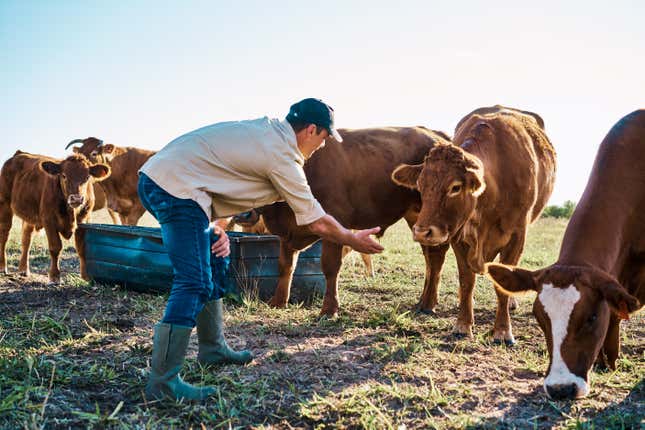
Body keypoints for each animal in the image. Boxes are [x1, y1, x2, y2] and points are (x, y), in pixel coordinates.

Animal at [0, 151, 110, 282]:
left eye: (87, 177)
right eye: (64, 176)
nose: (76, 198)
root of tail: (18, 154)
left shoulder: (84, 221)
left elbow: (82, 248)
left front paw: (85, 276)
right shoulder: (49, 220)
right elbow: (55, 247)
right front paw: (54, 276)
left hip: (30, 216)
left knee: (27, 238)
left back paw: (23, 269)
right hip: (4, 205)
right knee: (4, 235)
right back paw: (3, 267)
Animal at [255, 126, 448, 314]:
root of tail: (435, 134)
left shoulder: (335, 220)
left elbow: (330, 267)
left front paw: (329, 308)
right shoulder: (289, 233)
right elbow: (285, 265)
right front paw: (278, 301)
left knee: (435, 256)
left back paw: (428, 304)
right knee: (429, 257)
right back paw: (423, 301)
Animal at [390, 106, 556, 344]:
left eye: (455, 187)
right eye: (420, 185)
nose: (422, 232)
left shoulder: (517, 235)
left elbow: (502, 286)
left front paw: (503, 331)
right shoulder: (458, 235)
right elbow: (466, 280)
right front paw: (463, 325)